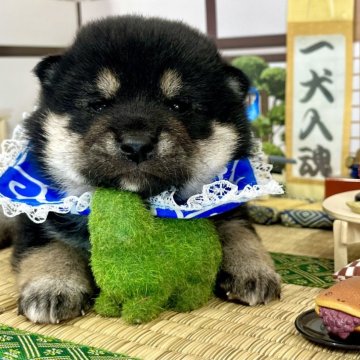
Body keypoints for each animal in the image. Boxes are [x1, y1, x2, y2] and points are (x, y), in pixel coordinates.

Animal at [0, 16, 282, 324]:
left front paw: (253, 270)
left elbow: (241, 233)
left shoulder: (228, 204)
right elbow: (48, 245)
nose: (136, 144)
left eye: (179, 105)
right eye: (98, 104)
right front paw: (52, 286)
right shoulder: (39, 212)